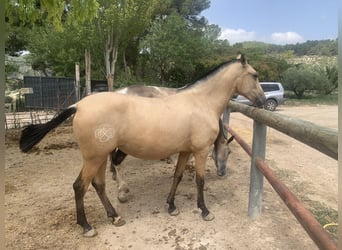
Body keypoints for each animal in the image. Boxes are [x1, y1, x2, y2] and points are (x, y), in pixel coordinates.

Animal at [18, 54, 266, 236]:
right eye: (254, 75)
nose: (263, 101)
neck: (200, 102)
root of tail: (78, 105)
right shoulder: (200, 151)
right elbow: (199, 180)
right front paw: (205, 211)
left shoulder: (185, 151)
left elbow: (177, 176)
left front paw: (171, 206)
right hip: (93, 157)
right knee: (80, 186)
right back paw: (87, 226)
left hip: (100, 157)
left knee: (99, 184)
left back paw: (115, 216)